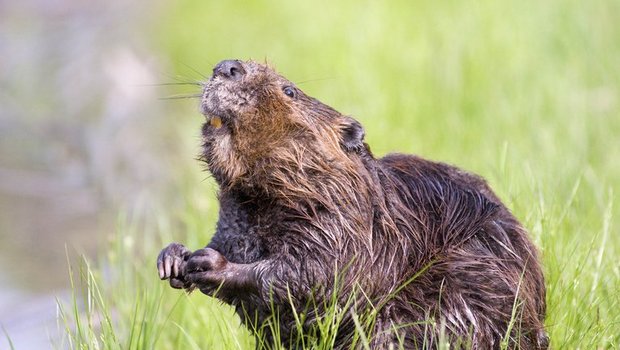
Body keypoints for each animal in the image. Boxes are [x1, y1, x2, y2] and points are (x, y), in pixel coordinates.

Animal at [156, 58, 548, 348]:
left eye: (289, 90)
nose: (227, 66)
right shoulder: (236, 218)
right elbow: (231, 242)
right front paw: (173, 257)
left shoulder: (345, 223)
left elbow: (317, 275)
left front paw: (208, 263)